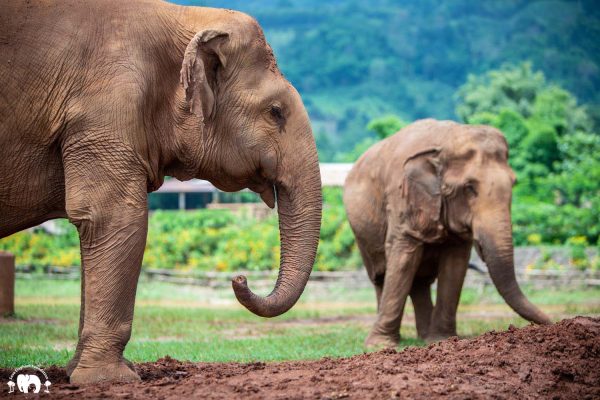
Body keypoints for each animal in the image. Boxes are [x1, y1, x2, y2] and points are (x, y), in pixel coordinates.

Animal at [0, 1, 322, 386]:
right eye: (276, 112)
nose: (239, 277)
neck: (183, 16)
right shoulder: (105, 109)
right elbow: (115, 217)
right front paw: (112, 379)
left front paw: (79, 373)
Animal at [344, 119, 552, 346]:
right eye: (470, 188)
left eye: (514, 183)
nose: (553, 322)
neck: (445, 142)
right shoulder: (402, 198)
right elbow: (403, 258)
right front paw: (379, 345)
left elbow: (455, 264)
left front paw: (442, 339)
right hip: (363, 234)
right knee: (381, 275)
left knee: (420, 281)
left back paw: (424, 338)